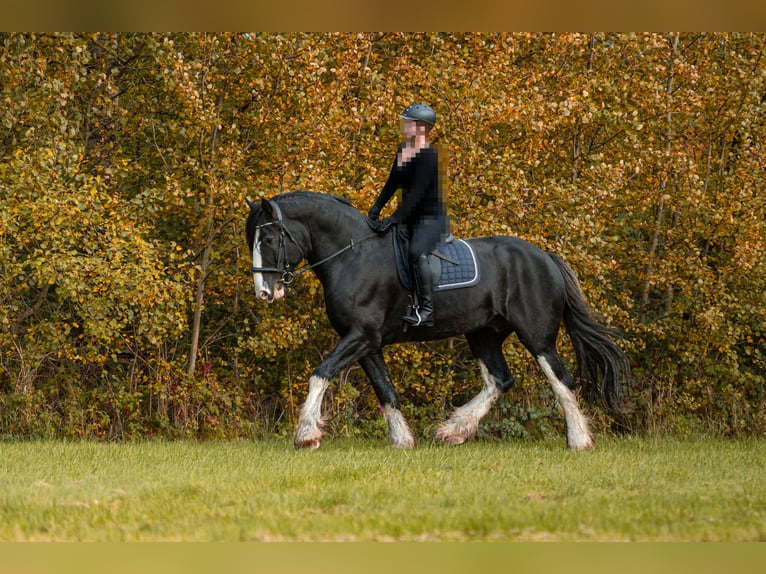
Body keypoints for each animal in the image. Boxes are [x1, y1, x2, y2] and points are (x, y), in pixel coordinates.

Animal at [246, 191, 630, 450]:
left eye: (269, 238)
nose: (264, 292)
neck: (352, 255)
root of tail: (545, 256)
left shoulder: (360, 337)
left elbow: (320, 373)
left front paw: (306, 433)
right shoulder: (367, 343)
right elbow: (386, 390)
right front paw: (403, 440)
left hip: (536, 336)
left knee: (561, 380)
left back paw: (578, 440)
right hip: (484, 333)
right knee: (500, 380)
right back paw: (453, 431)